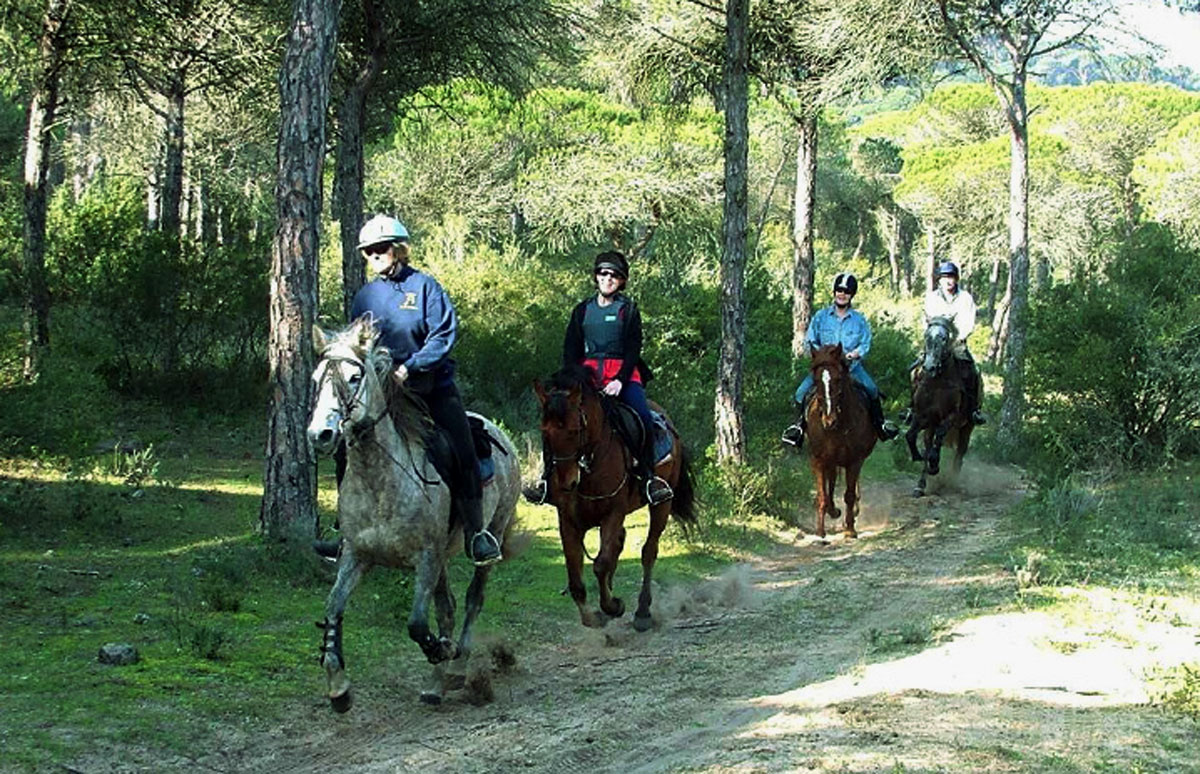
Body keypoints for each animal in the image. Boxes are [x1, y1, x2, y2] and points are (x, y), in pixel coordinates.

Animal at [307, 314, 518, 710]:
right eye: (315, 380)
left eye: (355, 377)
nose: (320, 434)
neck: (380, 483)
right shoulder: (356, 556)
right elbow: (332, 607)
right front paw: (338, 687)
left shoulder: (426, 557)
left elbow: (417, 624)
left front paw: (441, 651)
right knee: (448, 607)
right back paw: (436, 685)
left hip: (491, 533)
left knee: (472, 600)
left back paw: (455, 667)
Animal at [532, 362, 700, 628]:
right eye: (545, 432)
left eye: (575, 431)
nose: (567, 482)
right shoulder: (568, 521)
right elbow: (575, 578)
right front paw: (595, 615)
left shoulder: (612, 513)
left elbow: (601, 564)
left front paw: (613, 606)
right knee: (619, 544)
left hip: (662, 504)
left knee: (648, 552)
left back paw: (642, 612)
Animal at [801, 343, 878, 537]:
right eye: (816, 381)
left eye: (838, 379)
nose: (829, 420)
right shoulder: (819, 460)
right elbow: (822, 495)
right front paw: (820, 531)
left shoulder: (855, 461)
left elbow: (849, 495)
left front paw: (850, 529)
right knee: (832, 481)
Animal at [902, 314, 979, 492]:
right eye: (926, 336)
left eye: (944, 338)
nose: (929, 367)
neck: (937, 382)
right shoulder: (922, 416)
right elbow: (910, 436)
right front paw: (918, 457)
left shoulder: (950, 417)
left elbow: (938, 440)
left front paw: (935, 466)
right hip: (931, 425)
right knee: (929, 443)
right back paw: (921, 485)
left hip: (967, 427)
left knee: (959, 454)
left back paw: (952, 481)